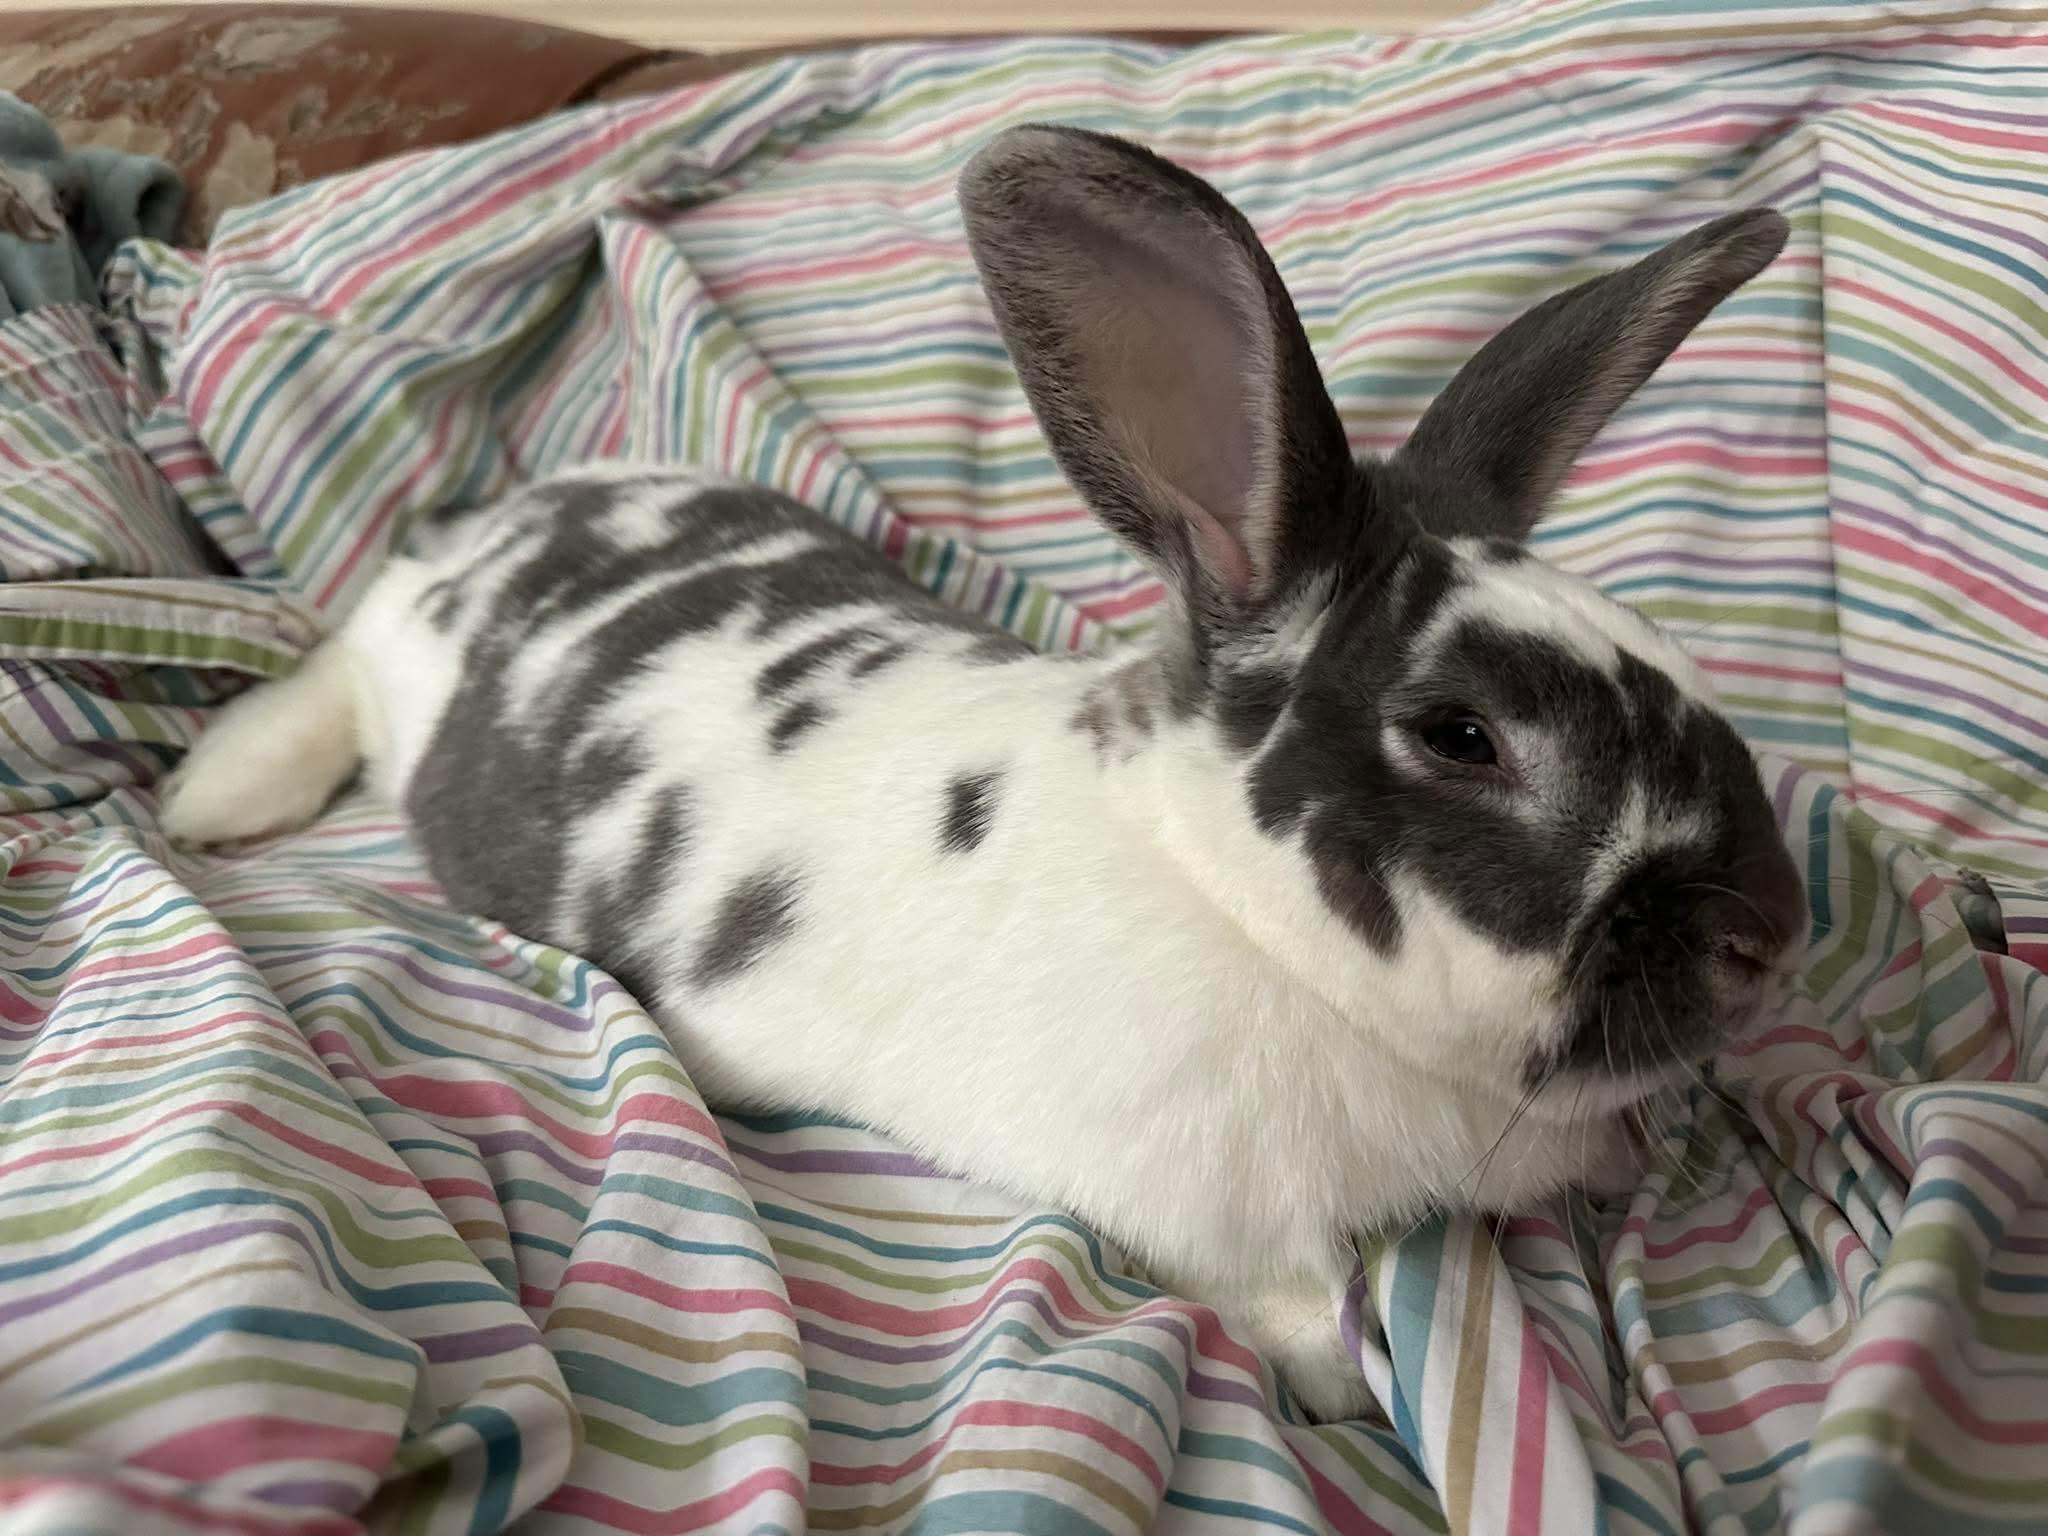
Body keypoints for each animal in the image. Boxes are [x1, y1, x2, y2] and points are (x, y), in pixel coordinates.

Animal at [159, 124, 1808, 1424]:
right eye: (1463, 736)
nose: (1773, 933)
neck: (1242, 911)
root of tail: (507, 519)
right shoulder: (1195, 1208)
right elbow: (1286, 1297)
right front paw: (1338, 1379)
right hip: (397, 660)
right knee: (338, 654)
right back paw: (213, 794)